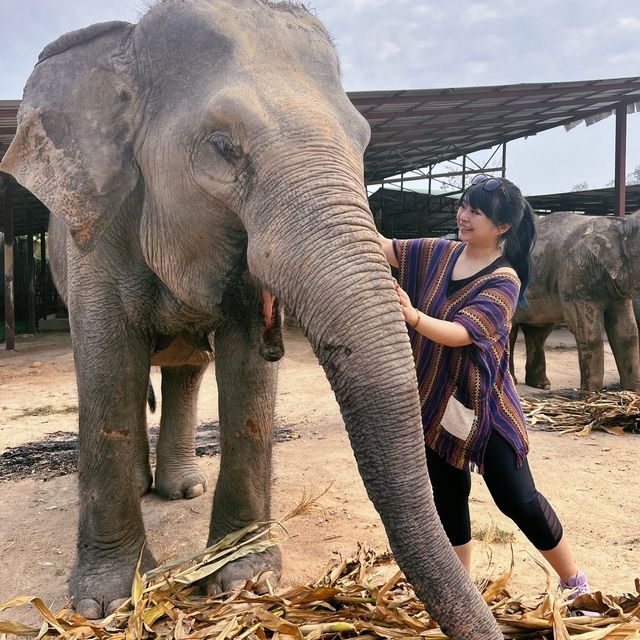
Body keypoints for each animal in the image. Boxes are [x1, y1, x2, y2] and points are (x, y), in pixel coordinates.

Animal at [0, 2, 502, 636]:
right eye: (221, 145)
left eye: (363, 141)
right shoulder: (97, 231)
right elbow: (107, 366)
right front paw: (106, 604)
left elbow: (248, 375)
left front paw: (245, 580)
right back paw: (146, 488)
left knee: (186, 369)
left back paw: (181, 488)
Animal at [510, 211, 640, 390]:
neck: (620, 223)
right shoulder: (575, 279)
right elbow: (589, 333)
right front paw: (591, 392)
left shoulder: (618, 291)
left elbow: (627, 333)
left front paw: (632, 390)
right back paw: (514, 382)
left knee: (538, 332)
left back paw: (542, 385)